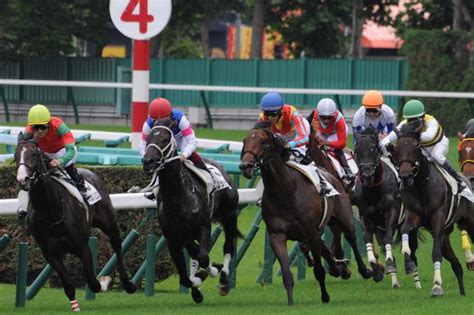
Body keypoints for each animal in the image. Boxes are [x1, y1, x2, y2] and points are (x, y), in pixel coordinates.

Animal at [14, 137, 136, 312]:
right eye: (16, 156)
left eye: (34, 154)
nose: (22, 179)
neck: (52, 211)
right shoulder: (50, 253)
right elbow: (68, 283)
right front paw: (75, 306)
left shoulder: (82, 246)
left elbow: (93, 282)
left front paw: (104, 282)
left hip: (109, 223)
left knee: (117, 245)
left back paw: (128, 284)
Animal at [142, 118, 243, 304]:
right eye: (148, 138)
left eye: (165, 139)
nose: (148, 161)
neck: (177, 197)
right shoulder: (173, 238)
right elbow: (185, 276)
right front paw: (197, 285)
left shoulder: (203, 228)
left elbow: (203, 258)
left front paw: (209, 273)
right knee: (196, 252)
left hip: (230, 216)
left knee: (228, 246)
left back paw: (224, 279)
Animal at [239, 121, 372, 306]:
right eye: (245, 141)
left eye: (264, 142)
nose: (246, 166)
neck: (285, 192)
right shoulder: (277, 236)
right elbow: (287, 274)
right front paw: (290, 302)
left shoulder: (312, 233)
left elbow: (319, 270)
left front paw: (325, 296)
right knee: (327, 249)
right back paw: (339, 268)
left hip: (343, 218)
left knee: (351, 239)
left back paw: (364, 270)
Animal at [354, 128, 420, 288]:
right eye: (357, 150)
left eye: (373, 149)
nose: (367, 174)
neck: (373, 190)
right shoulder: (366, 216)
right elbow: (367, 237)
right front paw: (375, 267)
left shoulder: (391, 212)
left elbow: (389, 236)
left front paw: (390, 264)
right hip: (380, 228)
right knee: (383, 243)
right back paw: (395, 280)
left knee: (411, 248)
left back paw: (414, 276)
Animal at [388, 119, 474, 298]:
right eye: (397, 149)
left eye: (415, 148)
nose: (405, 176)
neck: (421, 185)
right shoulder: (414, 216)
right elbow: (405, 230)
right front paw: (408, 263)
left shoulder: (438, 219)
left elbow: (435, 254)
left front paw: (437, 286)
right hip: (445, 236)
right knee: (456, 264)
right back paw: (462, 292)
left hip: (468, 223)